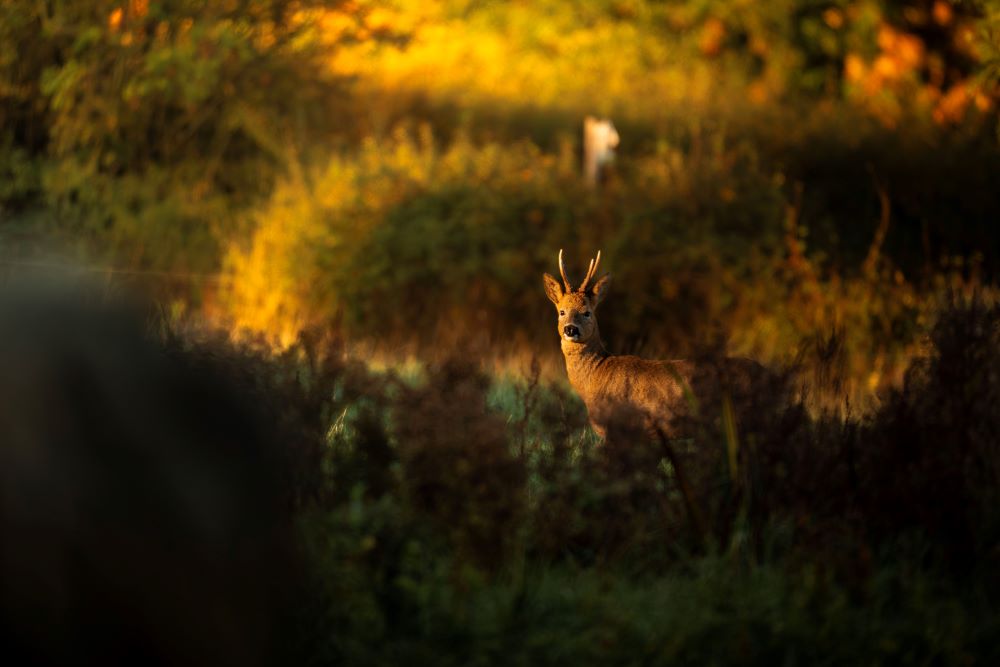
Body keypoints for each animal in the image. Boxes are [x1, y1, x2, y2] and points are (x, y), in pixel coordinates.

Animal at [543, 250, 764, 439]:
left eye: (587, 312)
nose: (570, 329)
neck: (596, 375)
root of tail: (766, 373)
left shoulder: (618, 429)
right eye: (561, 311)